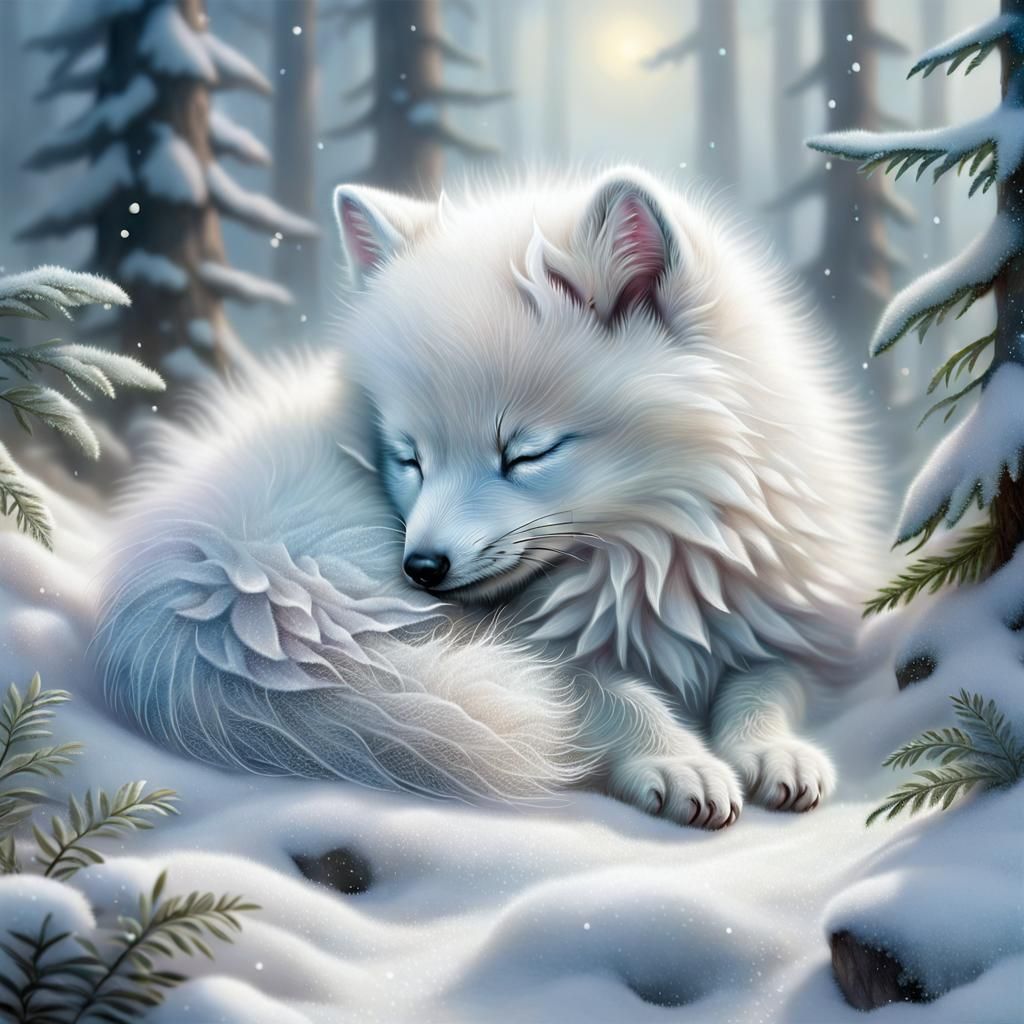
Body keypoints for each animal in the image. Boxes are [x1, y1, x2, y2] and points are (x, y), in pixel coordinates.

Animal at [94, 167, 882, 829]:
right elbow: (611, 694)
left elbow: (770, 680)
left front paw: (774, 750)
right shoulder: (549, 654)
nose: (420, 568)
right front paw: (677, 759)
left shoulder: (790, 625)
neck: (646, 566)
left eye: (525, 453)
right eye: (408, 457)